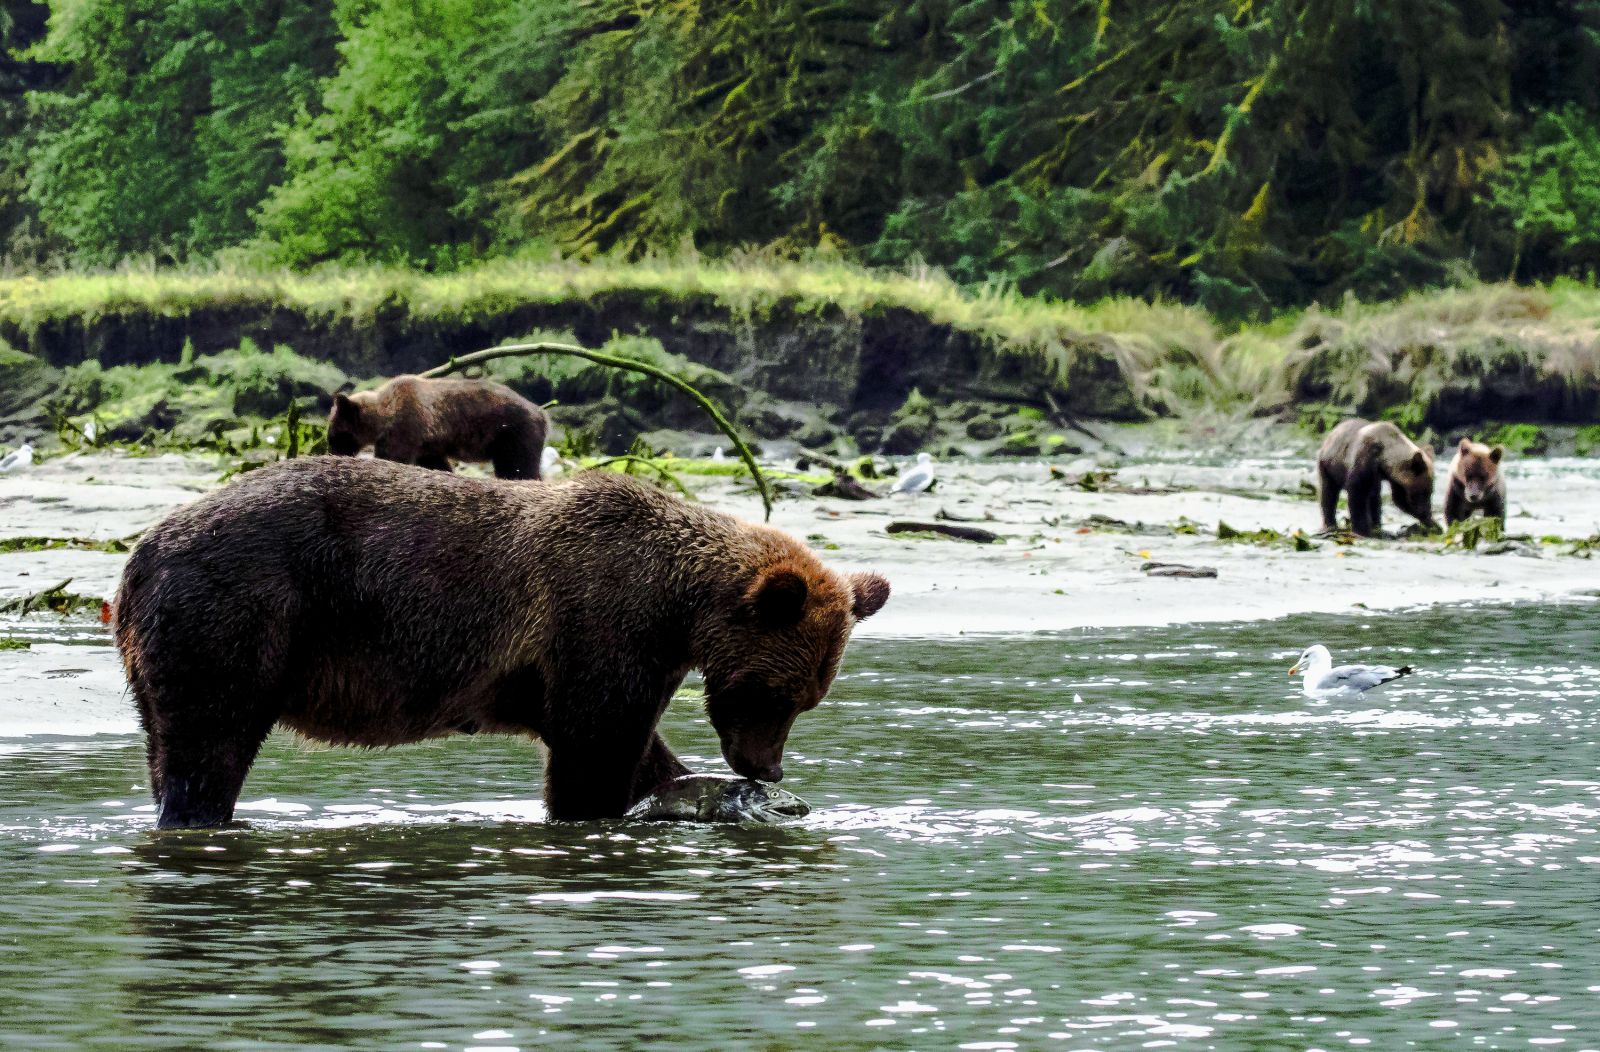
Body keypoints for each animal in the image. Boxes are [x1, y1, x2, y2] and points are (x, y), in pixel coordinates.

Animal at [112, 458, 891, 829]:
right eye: (775, 694)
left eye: (808, 700)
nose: (768, 767)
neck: (678, 604)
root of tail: (139, 554)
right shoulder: (600, 622)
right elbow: (594, 748)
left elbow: (633, 745)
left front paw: (688, 788)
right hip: (240, 611)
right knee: (210, 742)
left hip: (159, 654)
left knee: (168, 743)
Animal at [327, 375, 548, 479]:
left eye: (334, 436)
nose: (333, 452)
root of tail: (541, 413)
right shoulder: (427, 444)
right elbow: (436, 463)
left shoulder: (405, 427)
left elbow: (394, 456)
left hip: (512, 433)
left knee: (519, 466)